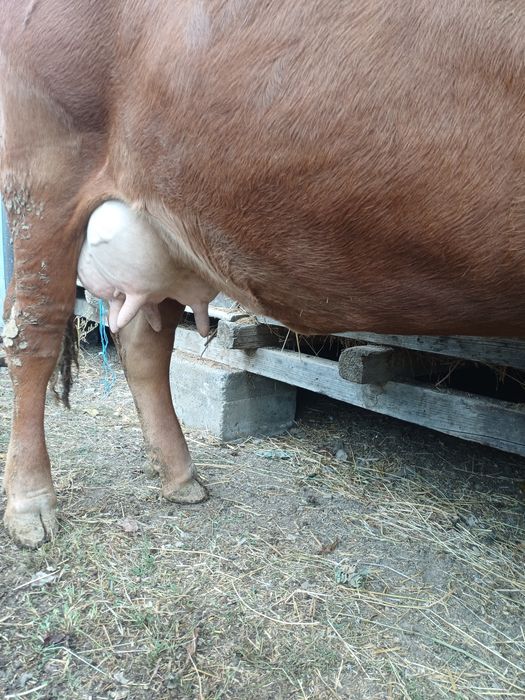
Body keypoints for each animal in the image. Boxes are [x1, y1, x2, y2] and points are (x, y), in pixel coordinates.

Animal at [2, 0, 525, 547]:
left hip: (158, 223)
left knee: (145, 348)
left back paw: (181, 479)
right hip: (45, 179)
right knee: (31, 336)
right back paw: (31, 505)